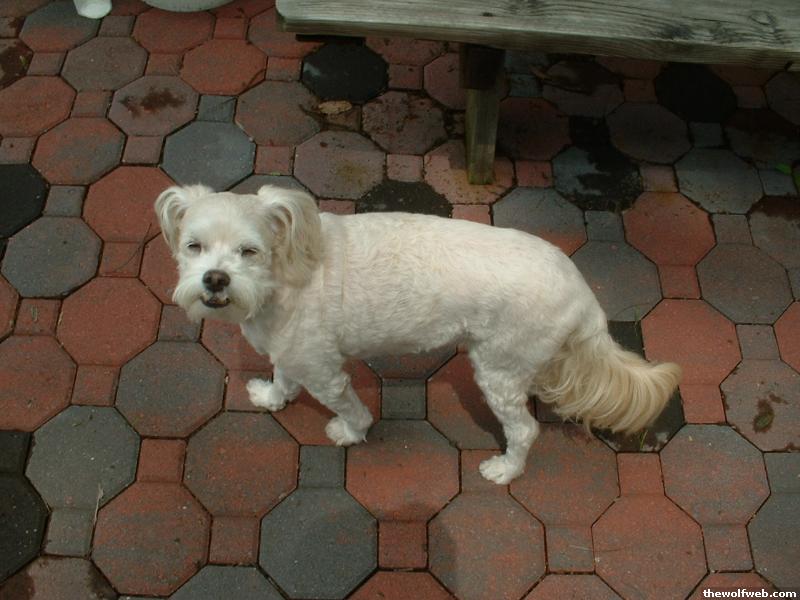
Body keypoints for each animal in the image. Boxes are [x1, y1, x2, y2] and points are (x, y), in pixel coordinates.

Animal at [155, 184, 681, 484]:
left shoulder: (325, 370)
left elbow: (350, 408)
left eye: (249, 251)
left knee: (525, 429)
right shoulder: (291, 352)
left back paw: (506, 470)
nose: (215, 280)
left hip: (498, 370)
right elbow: (283, 379)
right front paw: (271, 398)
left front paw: (350, 432)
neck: (285, 274)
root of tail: (579, 287)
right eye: (194, 246)